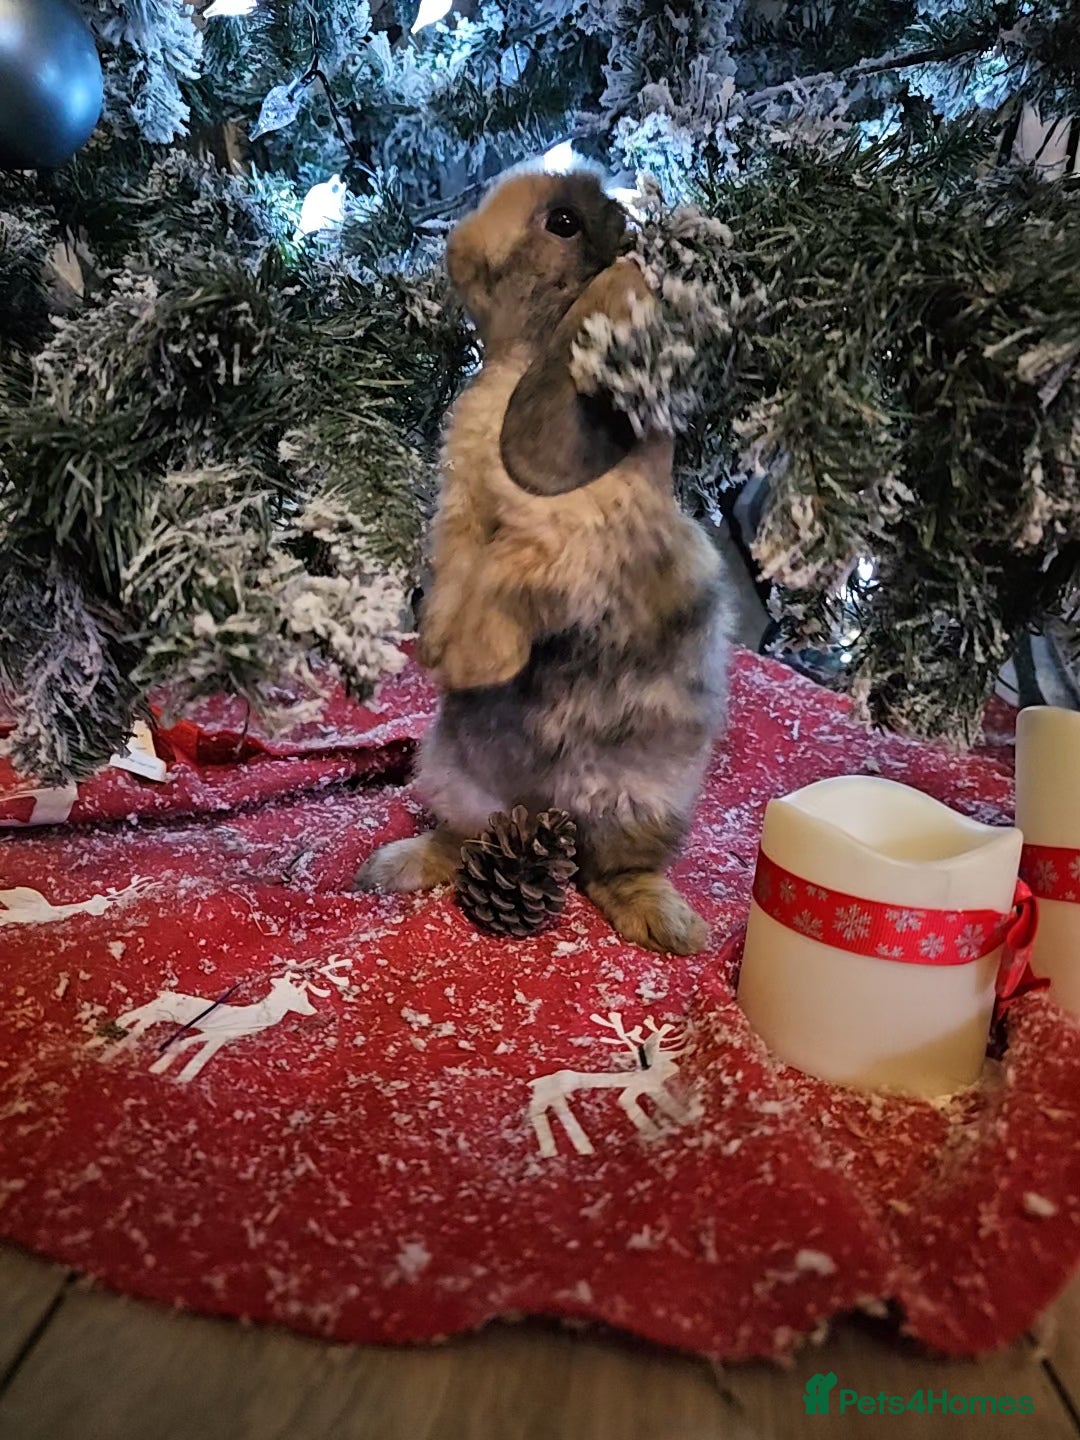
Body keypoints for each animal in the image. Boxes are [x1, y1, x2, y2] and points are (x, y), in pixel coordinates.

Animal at [354, 170, 730, 954]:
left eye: (562, 222)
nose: (457, 242)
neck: (520, 362)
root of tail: (544, 812)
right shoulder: (460, 522)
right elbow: (454, 580)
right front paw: (438, 651)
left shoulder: (558, 555)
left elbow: (504, 590)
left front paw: (469, 663)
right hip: (453, 779)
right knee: (463, 842)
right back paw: (393, 866)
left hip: (641, 807)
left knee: (615, 873)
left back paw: (671, 928)